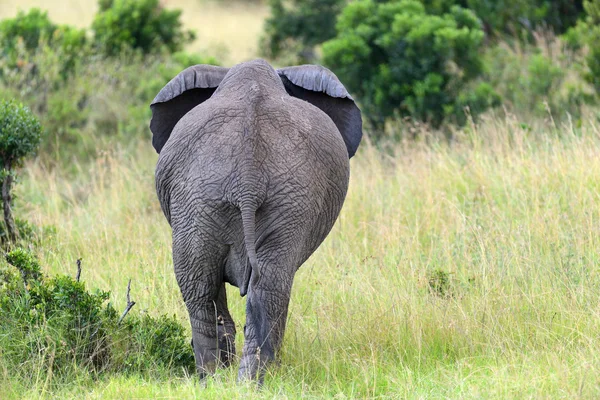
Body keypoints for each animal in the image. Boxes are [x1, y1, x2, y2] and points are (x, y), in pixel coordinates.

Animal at [149, 57, 360, 382]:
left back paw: (228, 381)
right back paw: (230, 380)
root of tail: (248, 176)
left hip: (258, 199)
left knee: (227, 287)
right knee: (220, 286)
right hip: (211, 197)